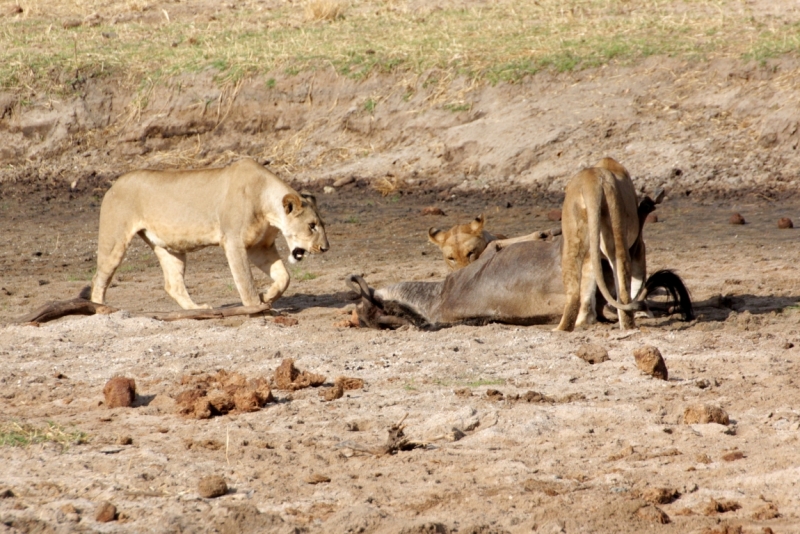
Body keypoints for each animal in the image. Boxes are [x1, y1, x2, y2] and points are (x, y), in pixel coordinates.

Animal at [92, 158, 330, 310]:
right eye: (312, 226)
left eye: (321, 225)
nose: (325, 248)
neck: (269, 208)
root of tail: (114, 184)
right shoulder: (234, 242)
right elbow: (245, 280)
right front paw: (256, 307)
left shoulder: (260, 247)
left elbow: (284, 277)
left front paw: (268, 296)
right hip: (114, 241)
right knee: (99, 278)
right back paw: (99, 310)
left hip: (170, 248)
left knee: (173, 285)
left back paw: (198, 309)